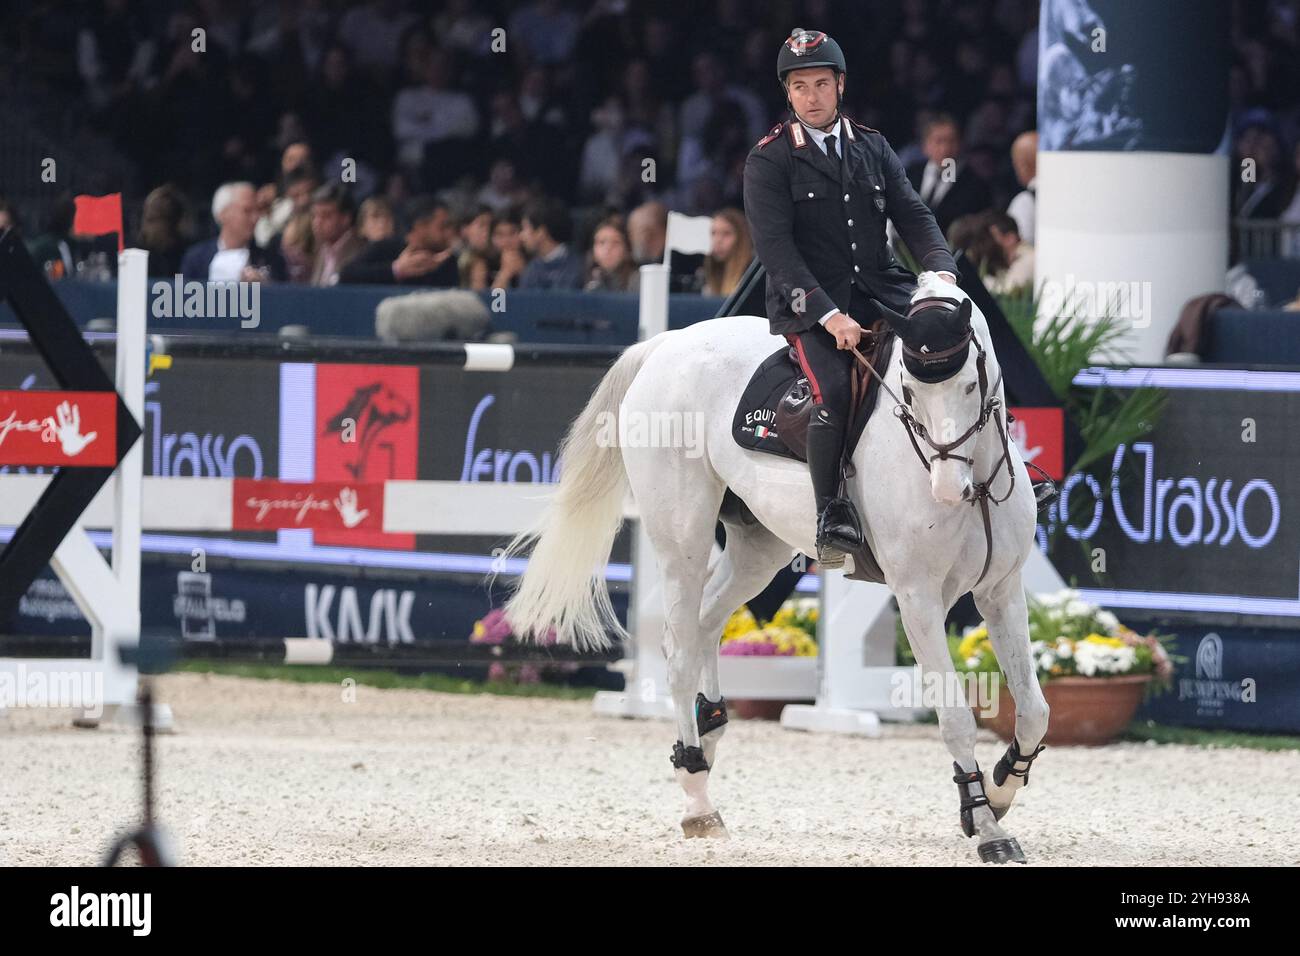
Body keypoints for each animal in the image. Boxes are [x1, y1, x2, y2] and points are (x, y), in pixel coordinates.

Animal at [501, 273, 1050, 863]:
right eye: (907, 392)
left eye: (971, 386)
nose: (948, 491)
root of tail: (668, 344)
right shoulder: (918, 598)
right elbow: (955, 718)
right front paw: (987, 824)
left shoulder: (1000, 591)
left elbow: (1034, 710)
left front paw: (1000, 789)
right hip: (683, 538)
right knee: (678, 648)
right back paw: (697, 796)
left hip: (758, 548)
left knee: (706, 623)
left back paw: (709, 729)